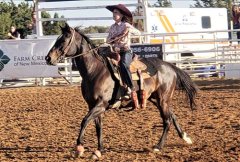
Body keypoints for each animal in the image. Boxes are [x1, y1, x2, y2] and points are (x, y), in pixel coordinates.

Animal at [44, 22, 197, 159]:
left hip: (163, 99)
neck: (95, 71)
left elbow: (85, 120)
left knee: (167, 120)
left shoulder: (101, 104)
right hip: (156, 99)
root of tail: (170, 66)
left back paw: (158, 146)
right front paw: (99, 150)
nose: (48, 58)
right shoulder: (93, 105)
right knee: (172, 116)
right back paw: (185, 137)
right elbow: (98, 126)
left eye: (63, 40)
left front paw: (79, 148)